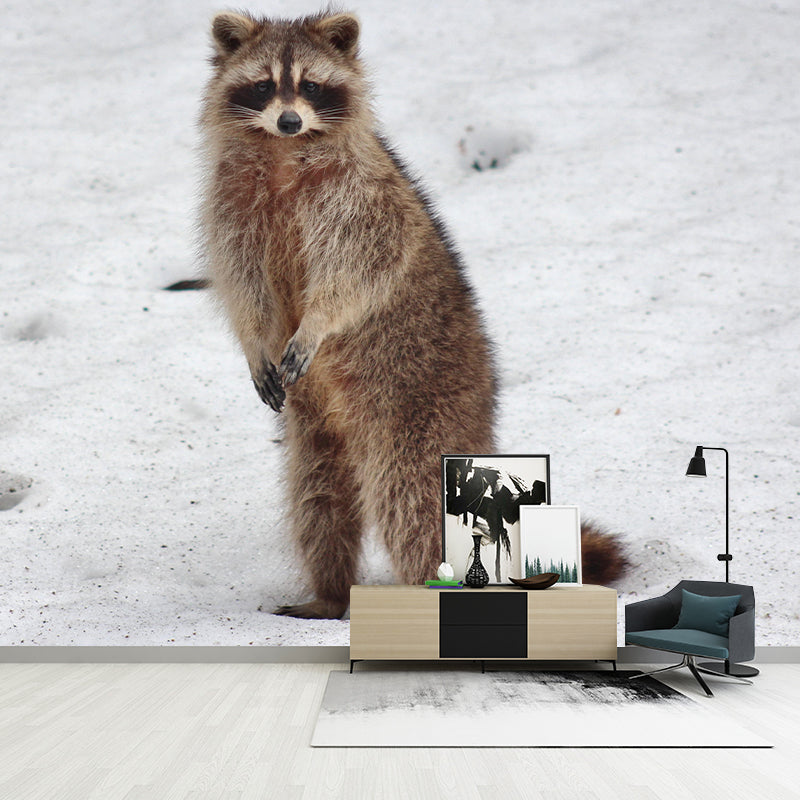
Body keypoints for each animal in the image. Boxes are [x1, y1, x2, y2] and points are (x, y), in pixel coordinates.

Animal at [199, 11, 497, 618]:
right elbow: (241, 281)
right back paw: (330, 593)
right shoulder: (230, 205)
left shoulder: (362, 198)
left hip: (424, 403)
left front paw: (316, 321)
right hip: (314, 428)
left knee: (413, 497)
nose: (289, 120)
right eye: (264, 85)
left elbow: (360, 269)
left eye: (310, 85)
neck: (283, 151)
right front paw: (254, 338)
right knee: (317, 495)